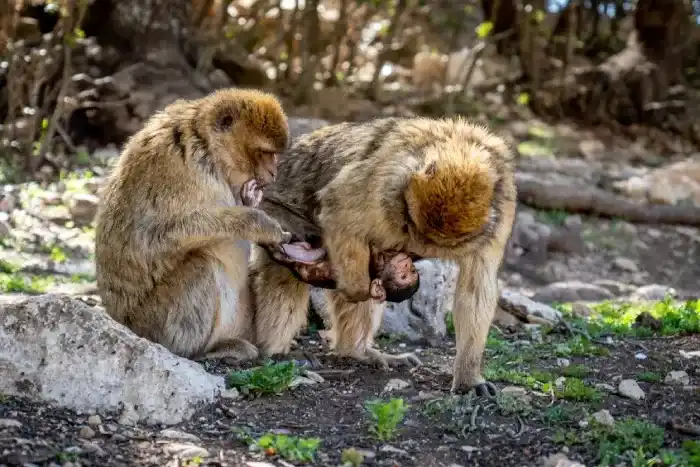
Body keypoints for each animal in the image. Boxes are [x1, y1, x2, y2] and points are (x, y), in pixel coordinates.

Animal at [94, 87, 312, 363]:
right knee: (202, 266)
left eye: (274, 155)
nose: (273, 173)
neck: (208, 149)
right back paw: (202, 351)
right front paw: (261, 225)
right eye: (265, 153)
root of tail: (123, 322)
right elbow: (152, 237)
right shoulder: (174, 167)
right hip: (153, 324)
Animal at [250, 117, 516, 396]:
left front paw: (468, 377)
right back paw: (276, 352)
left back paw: (355, 352)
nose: (409, 257)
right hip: (273, 213)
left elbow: (475, 289)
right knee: (285, 276)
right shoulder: (385, 182)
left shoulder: (501, 211)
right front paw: (356, 288)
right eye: (411, 231)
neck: (458, 148)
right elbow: (338, 211)